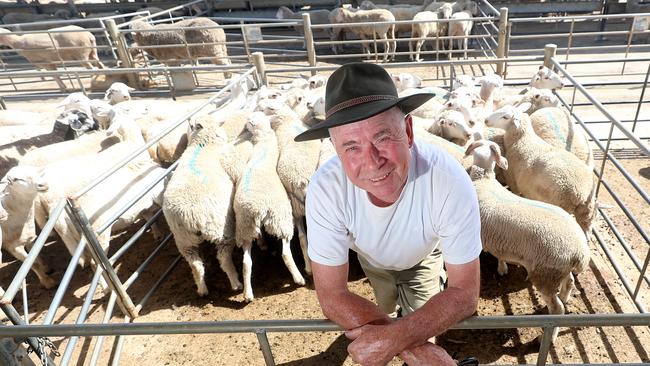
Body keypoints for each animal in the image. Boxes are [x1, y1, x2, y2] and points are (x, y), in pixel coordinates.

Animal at [162, 120, 240, 298]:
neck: (203, 144)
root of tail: (192, 217)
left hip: (183, 240)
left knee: (195, 265)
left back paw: (202, 289)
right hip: (222, 231)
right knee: (224, 258)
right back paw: (236, 283)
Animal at [233, 111, 304, 300]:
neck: (263, 143)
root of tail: (256, 209)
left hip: (245, 228)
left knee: (246, 263)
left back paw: (248, 294)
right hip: (281, 220)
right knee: (285, 253)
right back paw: (299, 278)